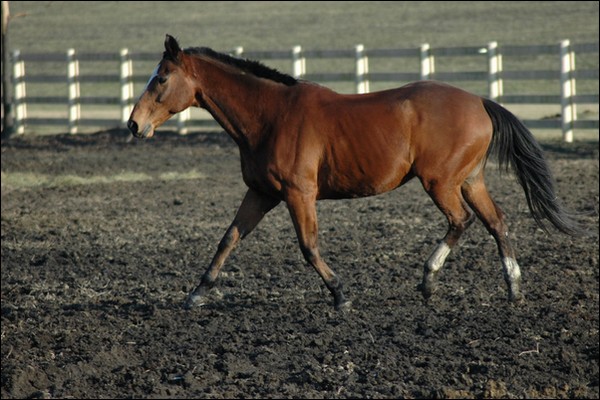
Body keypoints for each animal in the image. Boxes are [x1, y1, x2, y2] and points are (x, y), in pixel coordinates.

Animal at [126, 34, 580, 310]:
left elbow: (308, 247)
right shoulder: (261, 193)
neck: (271, 116)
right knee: (496, 222)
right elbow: (229, 239)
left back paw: (428, 280)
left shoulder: (299, 194)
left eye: (161, 78)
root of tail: (480, 101)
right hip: (470, 180)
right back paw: (513, 288)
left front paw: (340, 295)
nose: (133, 124)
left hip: (441, 182)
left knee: (461, 221)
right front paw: (197, 294)